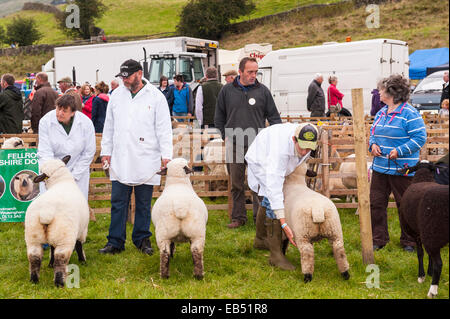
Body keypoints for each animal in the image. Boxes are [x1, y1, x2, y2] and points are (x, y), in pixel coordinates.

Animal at [23, 156, 89, 288]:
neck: (62, 182)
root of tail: (46, 212)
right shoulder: (82, 230)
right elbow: (79, 245)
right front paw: (83, 261)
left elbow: (52, 248)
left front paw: (50, 263)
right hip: (64, 236)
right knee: (61, 259)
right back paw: (59, 283)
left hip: (33, 236)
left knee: (34, 257)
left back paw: (34, 280)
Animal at [400, 162, 448, 300]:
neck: (423, 178)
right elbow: (428, 255)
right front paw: (429, 272)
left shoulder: (418, 233)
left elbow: (420, 253)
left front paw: (421, 276)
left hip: (432, 232)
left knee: (439, 264)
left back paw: (432, 291)